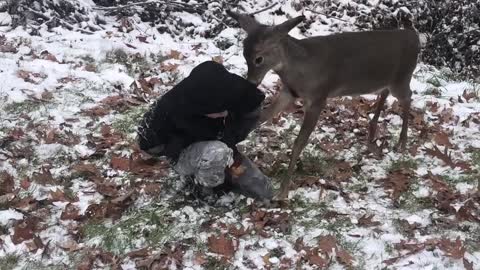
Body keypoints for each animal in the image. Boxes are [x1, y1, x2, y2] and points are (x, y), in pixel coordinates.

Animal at [228, 10, 420, 200]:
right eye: (244, 55)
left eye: (258, 59)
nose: (252, 82)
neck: (301, 70)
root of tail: (415, 37)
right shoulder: (289, 92)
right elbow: (263, 116)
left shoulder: (319, 98)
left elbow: (299, 143)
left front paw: (283, 191)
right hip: (388, 80)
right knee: (385, 92)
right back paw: (372, 134)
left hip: (401, 78)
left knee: (408, 97)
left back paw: (402, 143)